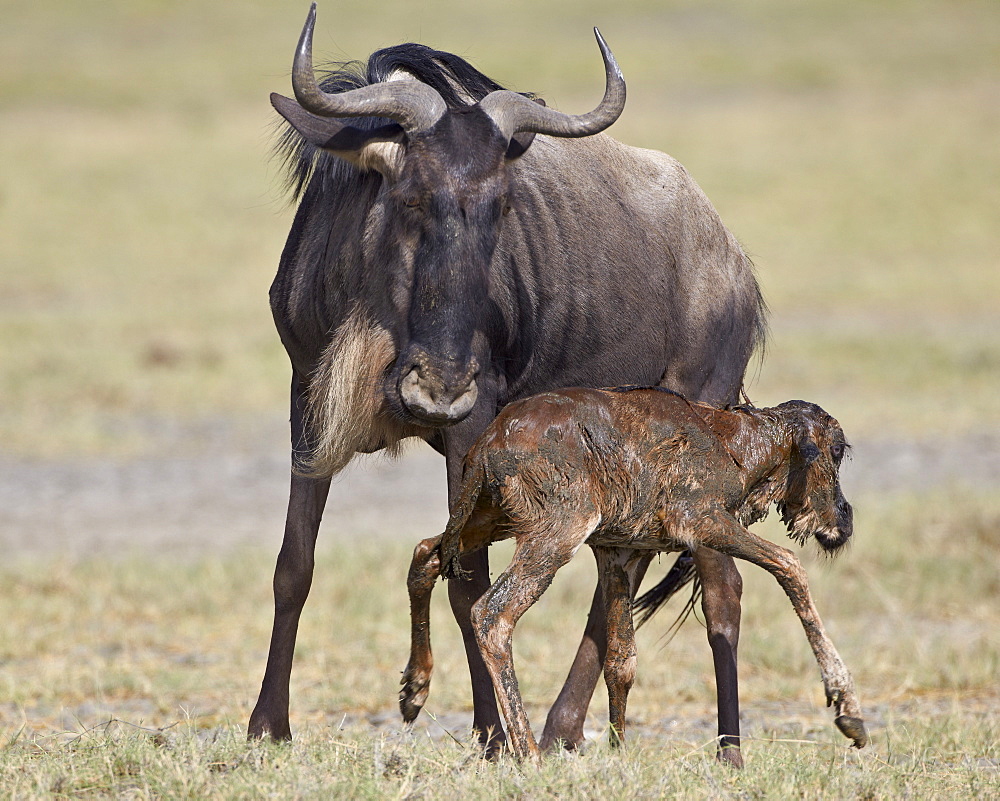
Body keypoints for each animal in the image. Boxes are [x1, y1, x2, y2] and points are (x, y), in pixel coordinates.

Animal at [398, 388, 868, 764]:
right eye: (837, 451)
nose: (844, 520)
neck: (741, 443)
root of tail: (487, 444)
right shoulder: (701, 521)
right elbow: (790, 565)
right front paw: (848, 710)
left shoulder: (617, 552)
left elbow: (621, 661)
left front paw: (619, 755)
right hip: (557, 530)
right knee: (492, 613)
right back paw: (528, 753)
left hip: (487, 520)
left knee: (425, 554)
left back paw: (413, 691)